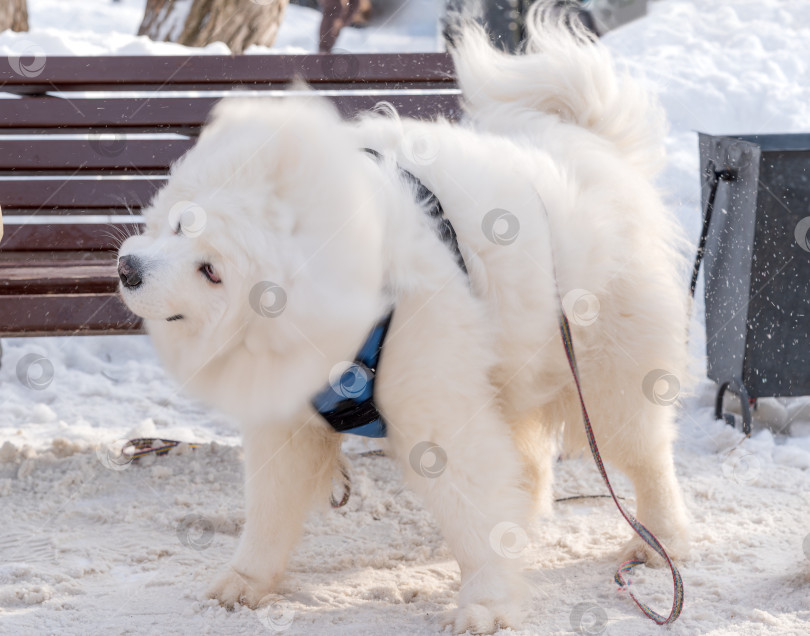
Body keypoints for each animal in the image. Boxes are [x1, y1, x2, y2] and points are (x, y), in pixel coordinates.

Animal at [118, 6, 688, 636]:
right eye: (180, 224)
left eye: (211, 271)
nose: (128, 269)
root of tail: (596, 143)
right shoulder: (288, 422)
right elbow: (269, 510)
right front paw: (245, 582)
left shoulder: (435, 412)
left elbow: (471, 506)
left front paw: (484, 603)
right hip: (514, 369)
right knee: (531, 465)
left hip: (607, 378)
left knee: (646, 458)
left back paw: (658, 545)